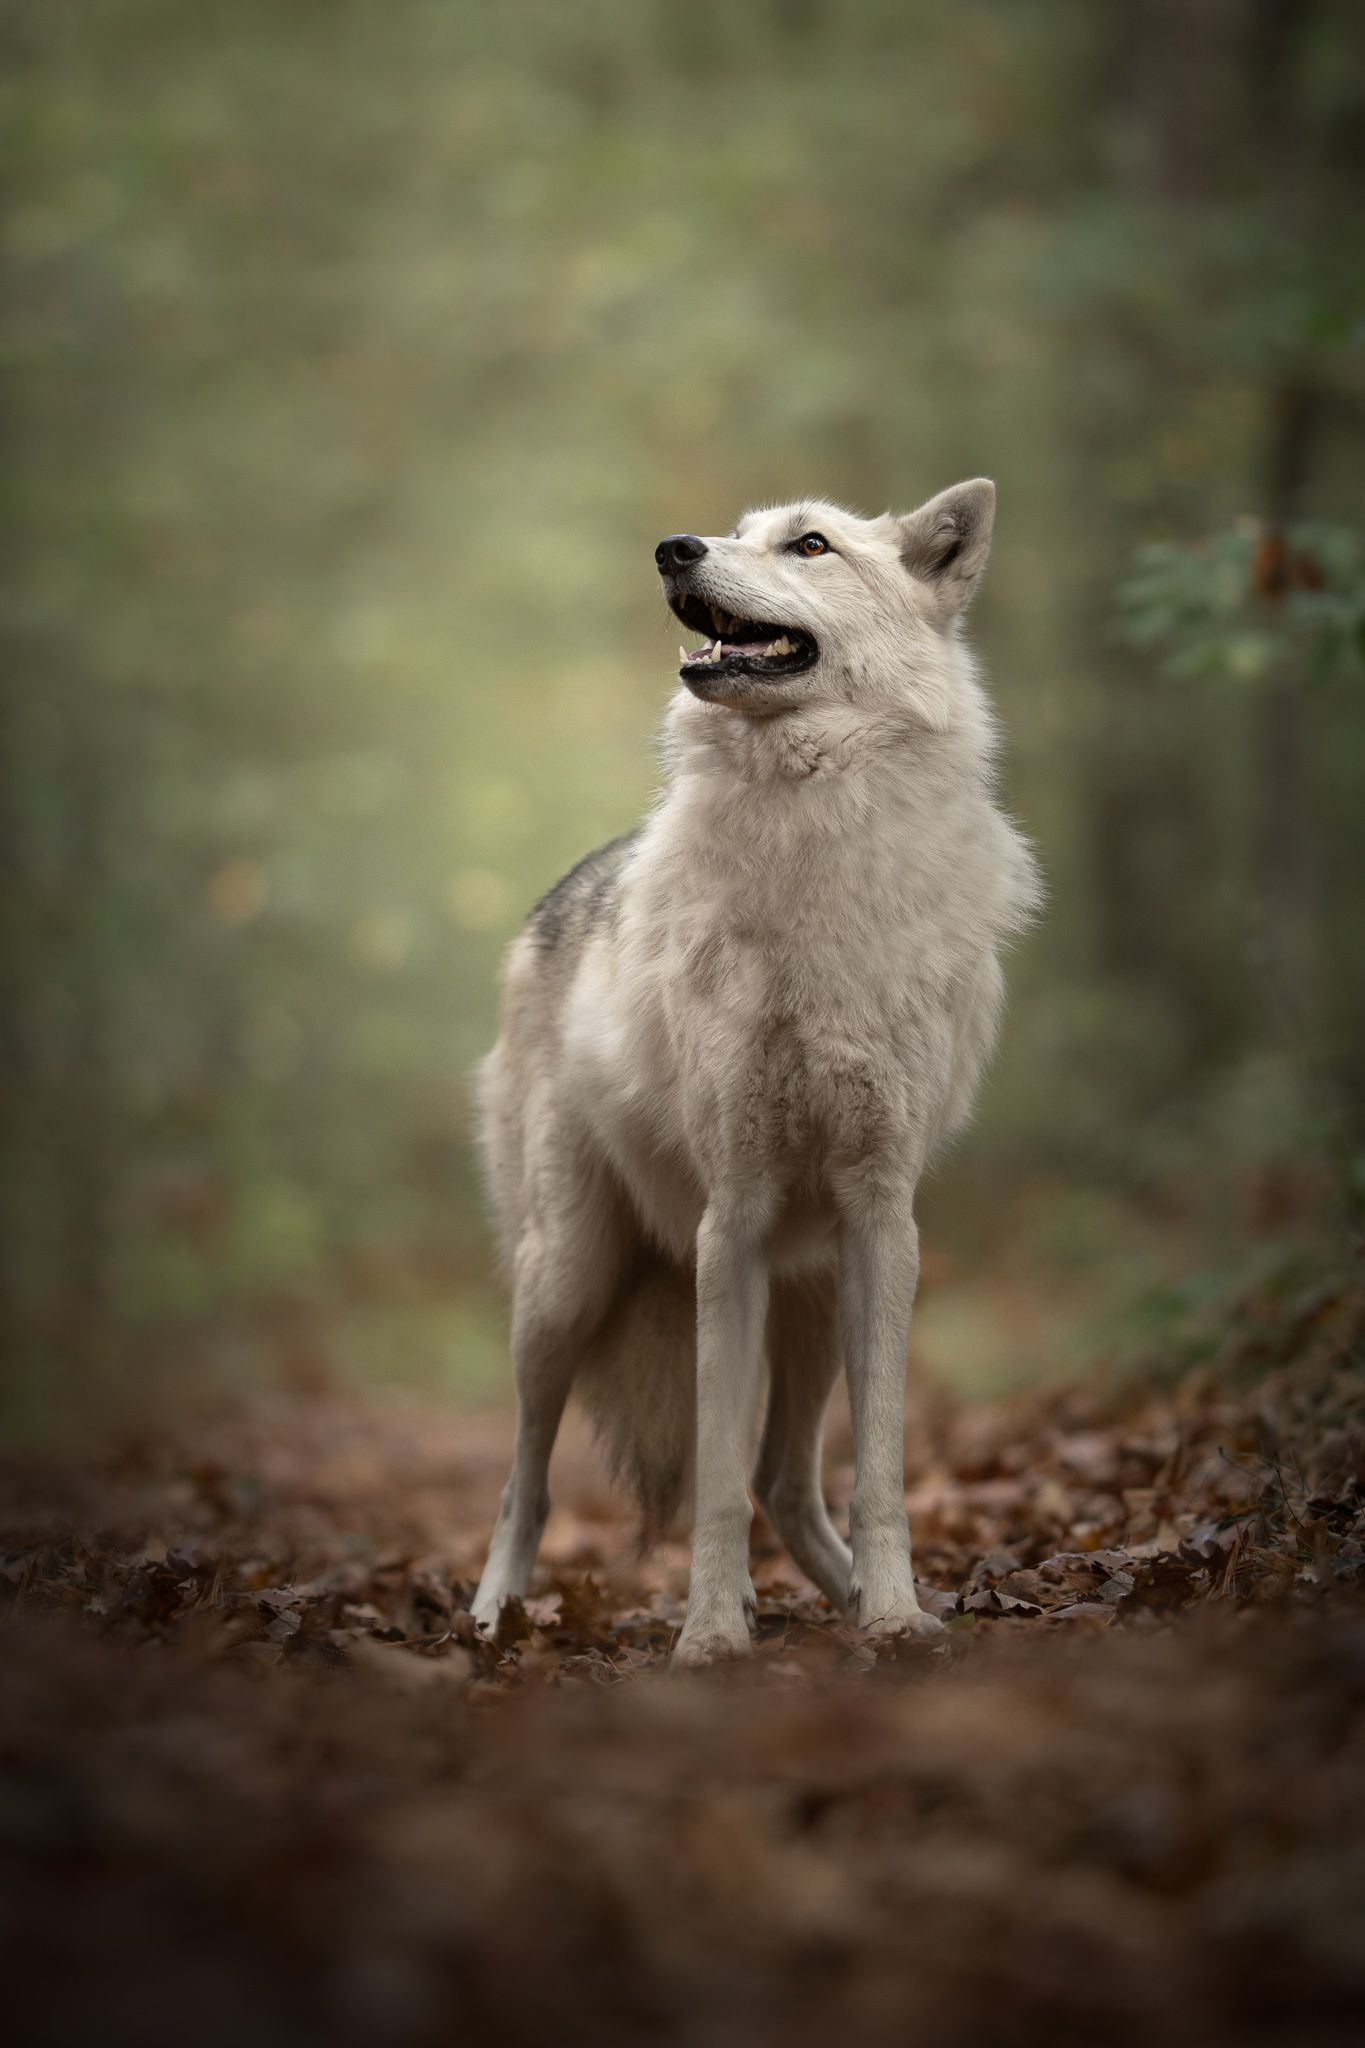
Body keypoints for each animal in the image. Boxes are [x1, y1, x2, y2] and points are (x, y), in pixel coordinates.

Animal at [471, 482, 1041, 1663]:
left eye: (810, 543)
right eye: (735, 534)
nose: (673, 548)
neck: (811, 829)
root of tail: (569, 885)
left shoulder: (882, 1220)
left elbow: (875, 1472)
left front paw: (896, 1616)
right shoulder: (726, 1224)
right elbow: (716, 1482)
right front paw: (709, 1635)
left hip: (812, 1299)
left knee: (790, 1482)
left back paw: (864, 1602)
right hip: (564, 1288)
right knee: (526, 1480)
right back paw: (492, 1616)